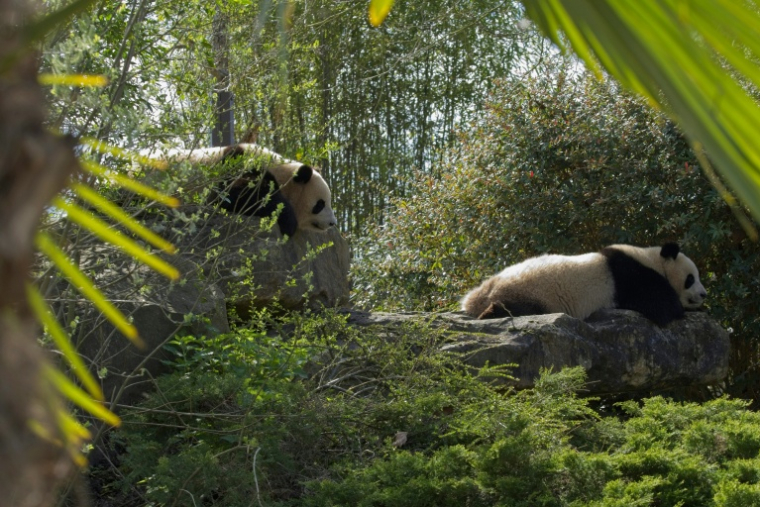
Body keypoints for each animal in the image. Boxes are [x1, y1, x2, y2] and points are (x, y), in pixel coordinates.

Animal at [461, 243, 707, 326]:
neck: (653, 259)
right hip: (531, 293)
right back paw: (489, 314)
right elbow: (663, 308)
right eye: (691, 279)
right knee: (517, 308)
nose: (703, 294)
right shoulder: (632, 277)